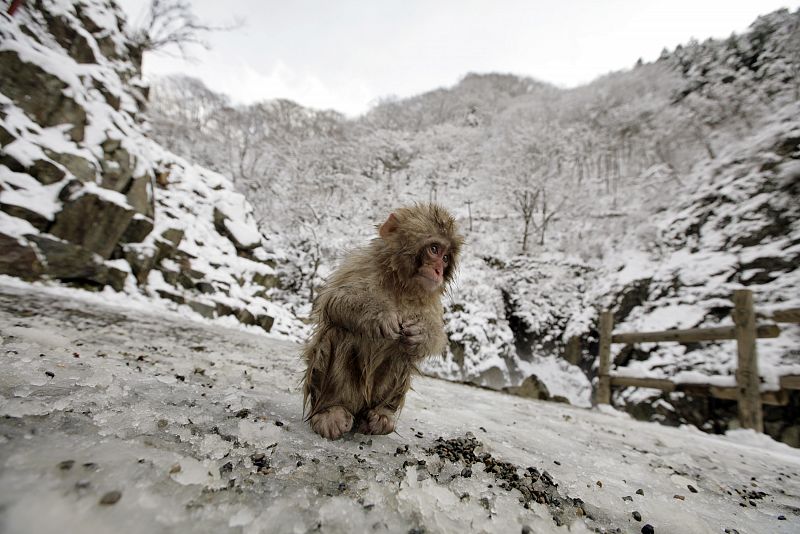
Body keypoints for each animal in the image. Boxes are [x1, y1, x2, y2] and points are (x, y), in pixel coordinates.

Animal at [302, 203, 463, 440]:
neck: (401, 284)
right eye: (434, 249)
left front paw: (422, 334)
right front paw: (379, 315)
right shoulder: (362, 265)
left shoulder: (430, 298)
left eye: (445, 258)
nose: (438, 271)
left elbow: (436, 335)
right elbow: (333, 300)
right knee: (338, 333)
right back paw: (330, 411)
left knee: (403, 351)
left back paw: (381, 414)